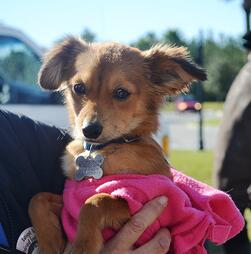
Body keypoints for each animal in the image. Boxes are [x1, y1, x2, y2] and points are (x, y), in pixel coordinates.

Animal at [28, 36, 206, 253]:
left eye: (121, 93)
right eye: (79, 88)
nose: (90, 130)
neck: (107, 149)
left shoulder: (138, 200)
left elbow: (94, 202)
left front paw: (83, 246)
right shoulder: (70, 199)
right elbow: (37, 199)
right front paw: (49, 241)